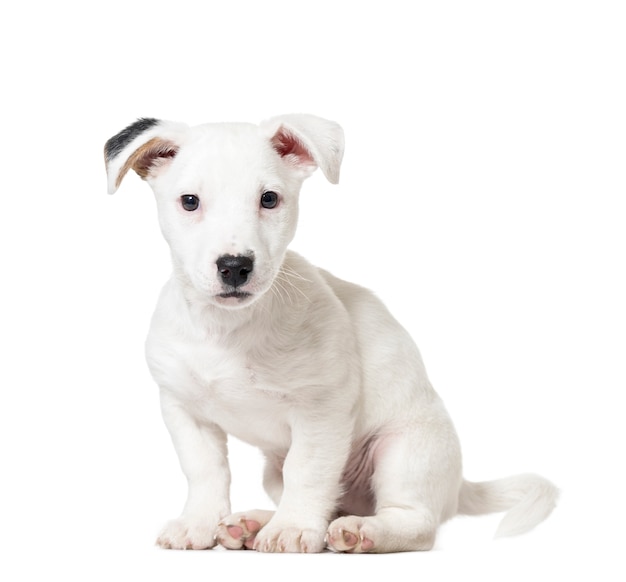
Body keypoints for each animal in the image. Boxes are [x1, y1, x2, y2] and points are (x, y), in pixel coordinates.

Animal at [103, 115, 556, 556]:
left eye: (270, 199)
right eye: (189, 201)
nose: (234, 266)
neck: (229, 329)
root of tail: (459, 486)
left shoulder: (321, 410)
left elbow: (307, 470)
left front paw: (292, 528)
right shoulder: (184, 411)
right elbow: (205, 471)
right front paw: (199, 522)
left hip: (404, 452)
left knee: (416, 523)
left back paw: (361, 531)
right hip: (276, 471)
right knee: (328, 501)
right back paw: (255, 522)